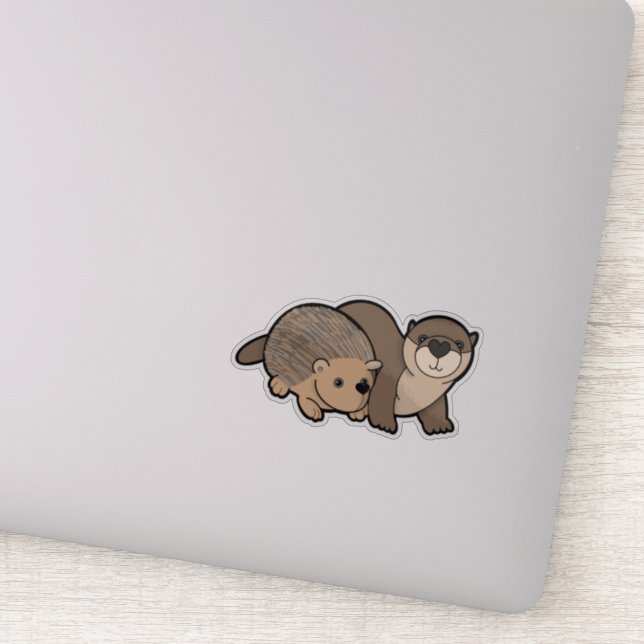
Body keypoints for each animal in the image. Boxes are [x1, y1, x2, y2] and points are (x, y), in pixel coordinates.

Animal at [235, 304, 382, 423]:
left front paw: (359, 412)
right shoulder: (301, 380)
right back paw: (279, 386)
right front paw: (313, 411)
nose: (362, 387)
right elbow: (304, 398)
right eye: (338, 382)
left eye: (365, 381)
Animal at [338, 300, 479, 436]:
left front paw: (439, 426)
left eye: (460, 344)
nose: (439, 347)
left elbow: (437, 409)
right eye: (421, 337)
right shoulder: (388, 377)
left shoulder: (434, 399)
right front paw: (384, 425)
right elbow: (381, 401)